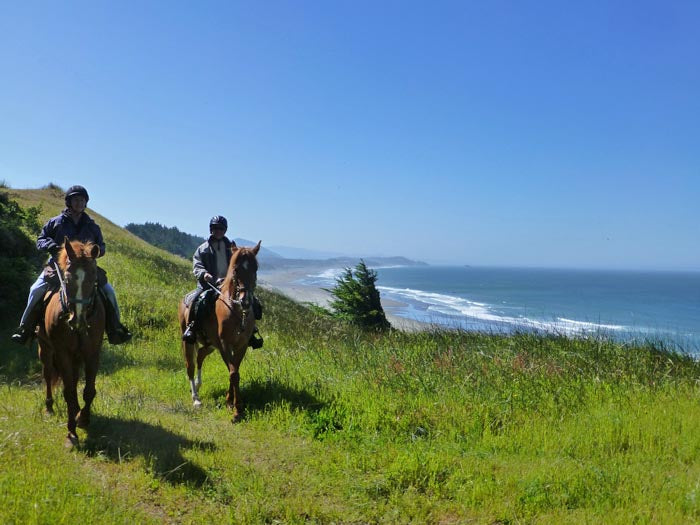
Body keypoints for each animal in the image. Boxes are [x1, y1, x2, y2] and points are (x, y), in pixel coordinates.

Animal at [38, 237, 105, 446]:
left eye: (93, 279)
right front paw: (71, 432)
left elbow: (88, 390)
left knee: (74, 381)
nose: (77, 320)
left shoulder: (92, 352)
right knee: (48, 375)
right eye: (67, 279)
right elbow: (68, 391)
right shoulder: (63, 353)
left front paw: (83, 419)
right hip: (45, 348)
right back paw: (49, 408)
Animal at [178, 241, 260, 422]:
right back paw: (196, 398)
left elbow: (235, 370)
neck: (236, 311)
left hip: (210, 345)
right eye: (236, 269)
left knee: (200, 355)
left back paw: (198, 385)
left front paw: (230, 401)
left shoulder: (241, 345)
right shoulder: (224, 345)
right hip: (189, 340)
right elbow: (233, 373)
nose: (245, 301)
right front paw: (236, 410)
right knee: (190, 365)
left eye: (256, 268)